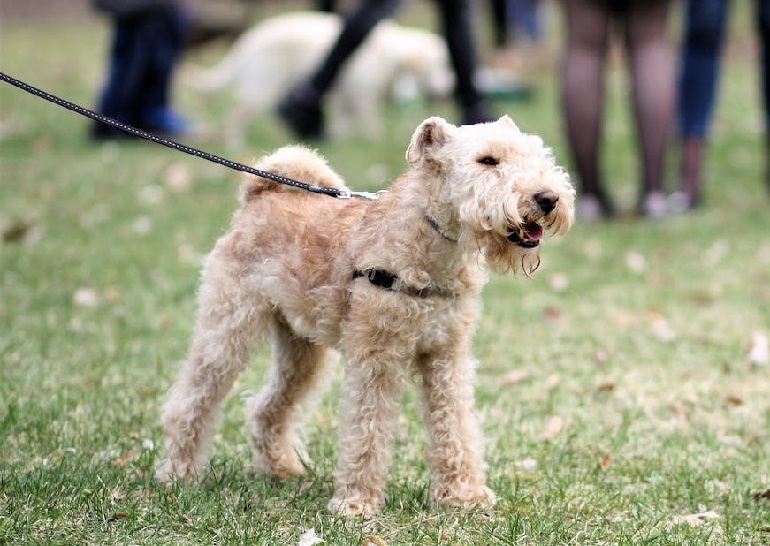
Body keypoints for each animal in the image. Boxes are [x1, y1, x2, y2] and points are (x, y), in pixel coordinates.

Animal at [187, 12, 450, 144]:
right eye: (436, 66)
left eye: (446, 65)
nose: (447, 89)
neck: (391, 55)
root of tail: (251, 38)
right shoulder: (361, 98)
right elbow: (369, 124)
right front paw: (372, 140)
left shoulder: (345, 98)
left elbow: (345, 123)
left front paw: (338, 138)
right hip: (262, 89)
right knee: (234, 117)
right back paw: (235, 143)